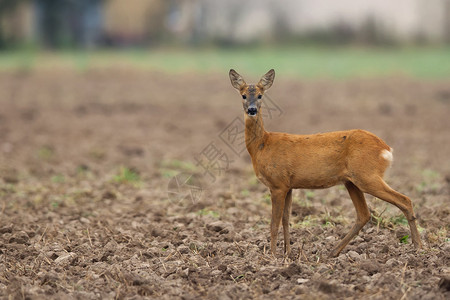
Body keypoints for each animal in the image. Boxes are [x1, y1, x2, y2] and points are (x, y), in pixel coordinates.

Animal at [230, 69, 424, 256]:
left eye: (260, 95)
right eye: (243, 95)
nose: (252, 110)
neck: (262, 145)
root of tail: (386, 148)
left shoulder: (277, 184)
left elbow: (274, 223)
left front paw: (271, 256)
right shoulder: (288, 185)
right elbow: (286, 219)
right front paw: (287, 253)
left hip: (367, 175)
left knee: (405, 200)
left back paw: (418, 246)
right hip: (352, 181)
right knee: (364, 214)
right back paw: (332, 252)